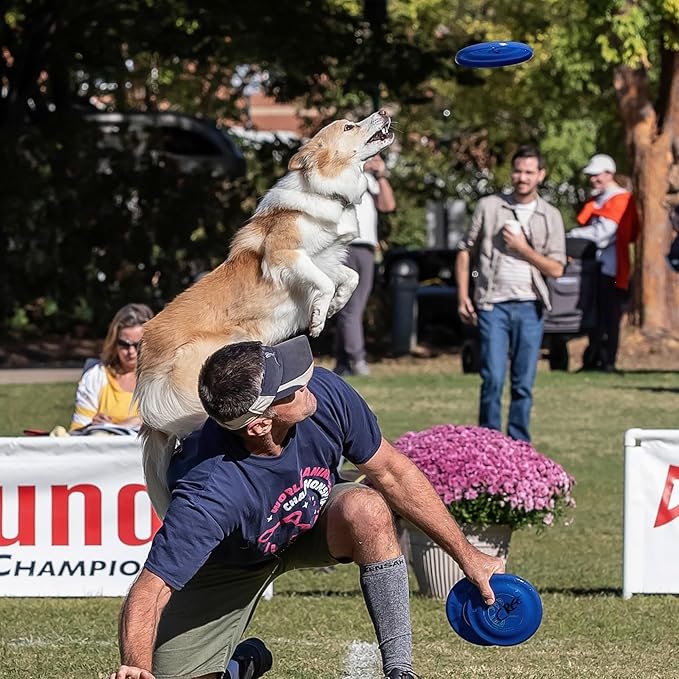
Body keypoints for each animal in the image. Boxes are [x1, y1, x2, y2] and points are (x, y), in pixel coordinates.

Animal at [136, 110, 396, 516]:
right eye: (349, 126)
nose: (384, 111)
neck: (327, 193)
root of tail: (146, 354)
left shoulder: (327, 259)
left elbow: (348, 277)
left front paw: (335, 306)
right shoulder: (285, 256)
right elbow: (322, 282)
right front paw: (318, 318)